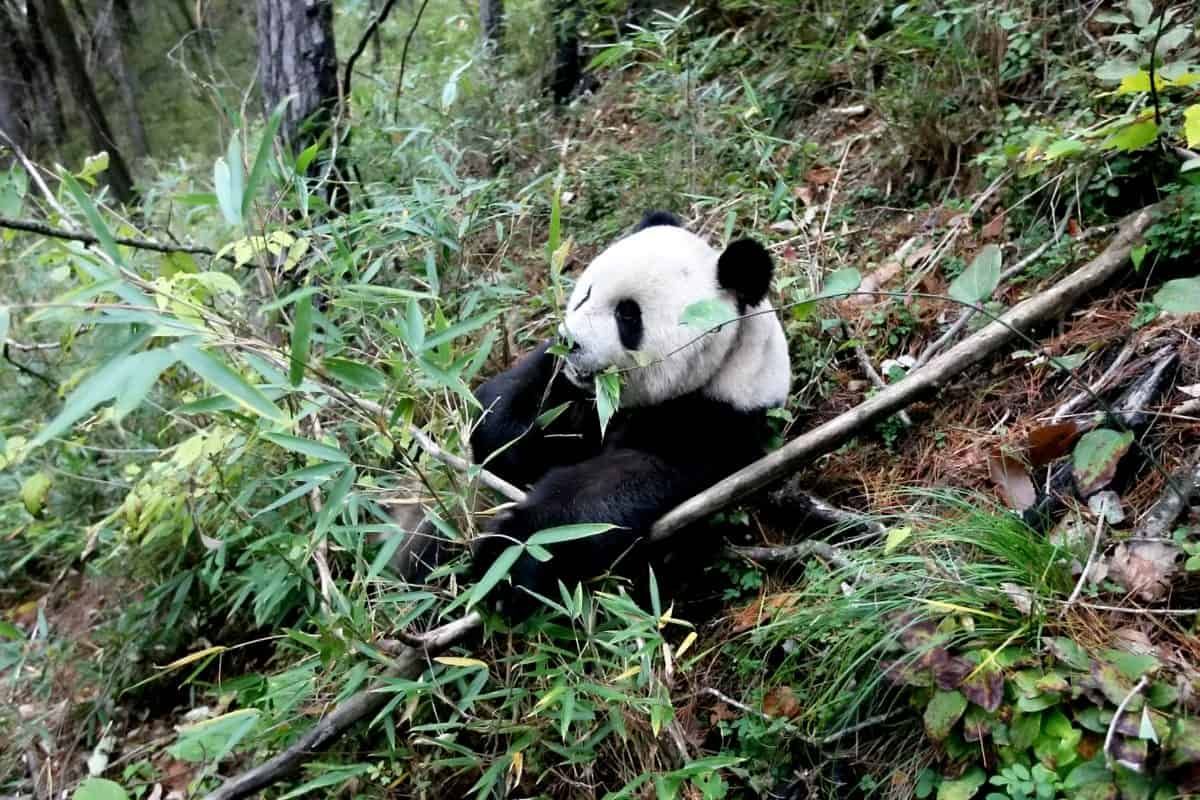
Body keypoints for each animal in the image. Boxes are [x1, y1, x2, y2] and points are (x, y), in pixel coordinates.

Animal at [398, 209, 792, 618]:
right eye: (586, 293)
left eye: (628, 316)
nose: (570, 341)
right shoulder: (567, 385)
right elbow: (500, 413)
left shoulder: (712, 422)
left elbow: (614, 487)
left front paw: (511, 558)